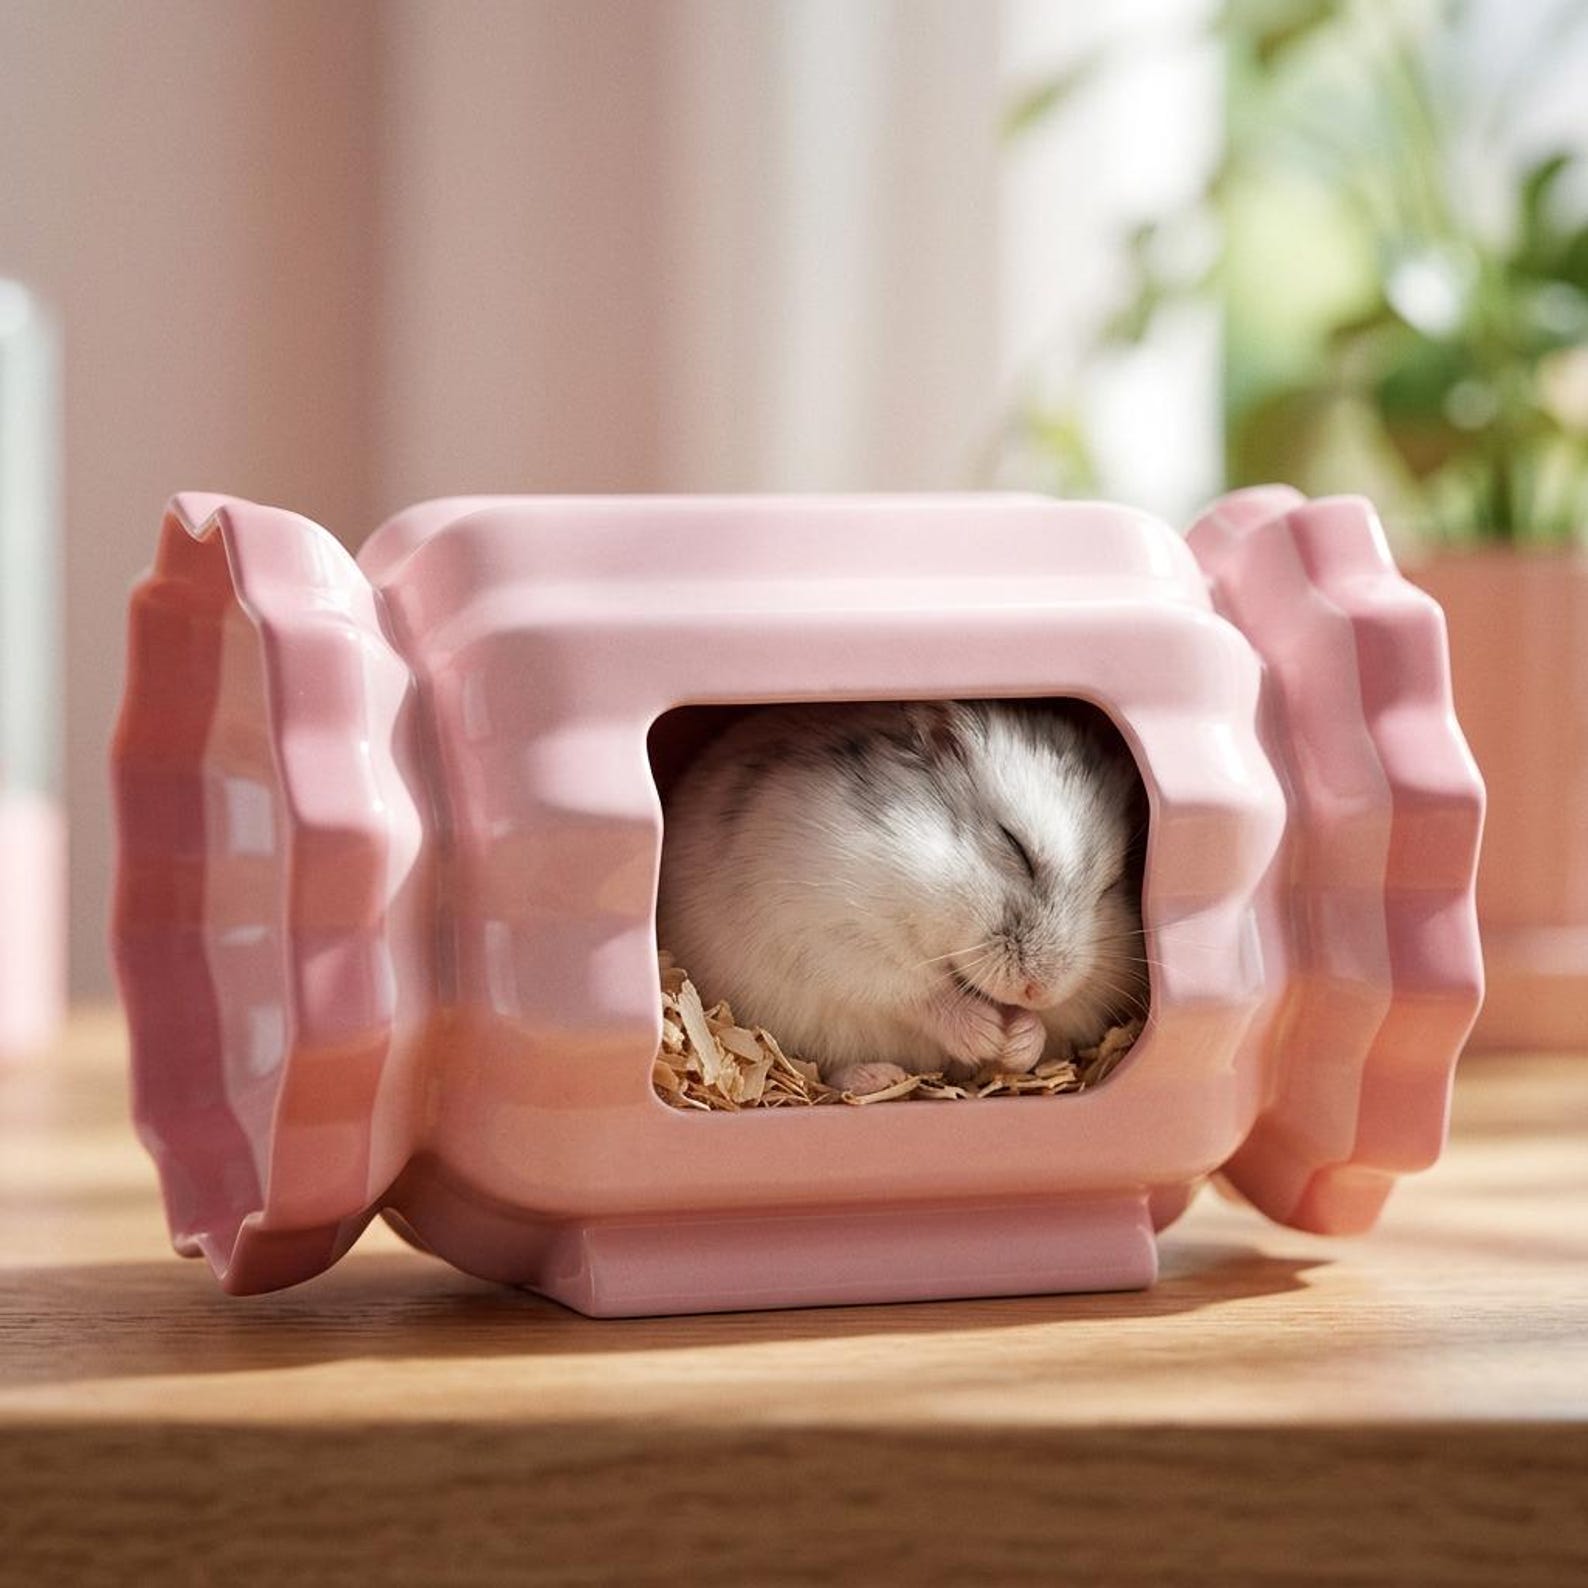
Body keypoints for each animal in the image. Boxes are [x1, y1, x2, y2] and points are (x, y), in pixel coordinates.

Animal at [655, 699, 1148, 1095]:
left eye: (1111, 885)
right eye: (1014, 846)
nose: (1039, 992)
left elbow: (1049, 1028)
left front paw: (1019, 1040)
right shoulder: (837, 937)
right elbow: (915, 994)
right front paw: (989, 1034)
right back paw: (880, 1078)